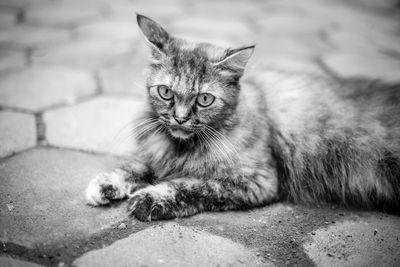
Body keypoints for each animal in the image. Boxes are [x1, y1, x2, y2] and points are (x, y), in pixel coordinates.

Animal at [86, 13, 400, 221]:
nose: (180, 118)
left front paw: (152, 197)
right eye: (165, 92)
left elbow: (193, 184)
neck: (181, 147)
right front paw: (107, 184)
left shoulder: (257, 180)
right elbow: (135, 165)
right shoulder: (155, 151)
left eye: (204, 99)